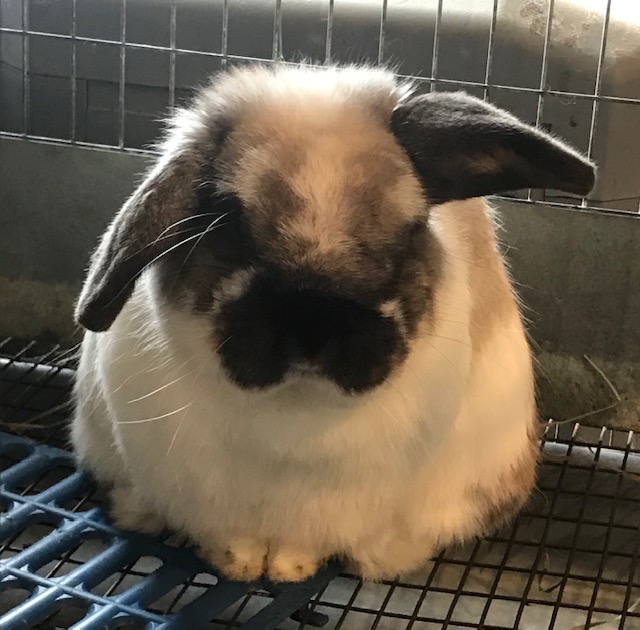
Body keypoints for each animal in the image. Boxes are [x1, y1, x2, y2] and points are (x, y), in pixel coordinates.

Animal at [71, 64, 595, 583]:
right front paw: (241, 563)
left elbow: (306, 544)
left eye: (411, 229)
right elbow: (230, 536)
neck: (296, 410)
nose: (312, 327)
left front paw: (289, 568)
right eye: (226, 219)